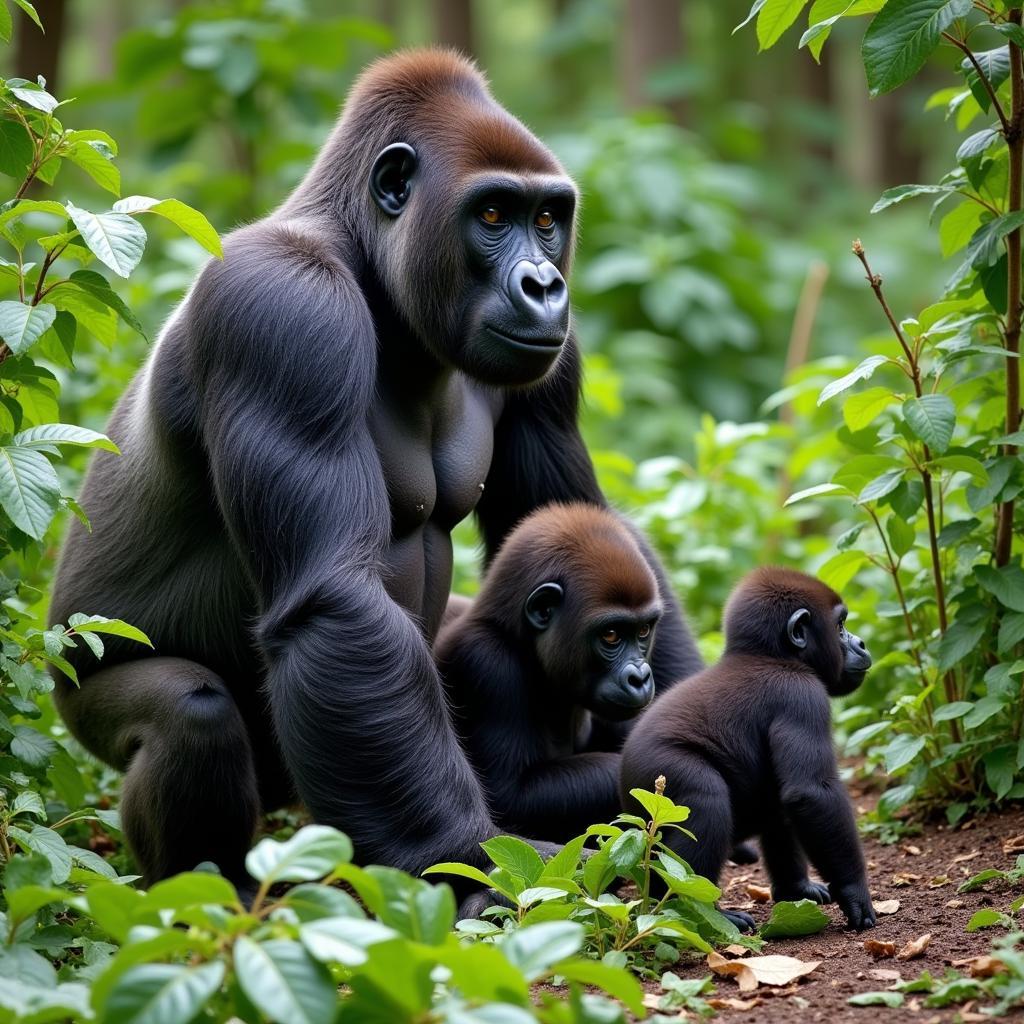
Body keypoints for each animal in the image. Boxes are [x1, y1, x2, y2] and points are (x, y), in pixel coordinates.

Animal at [434, 503, 663, 839]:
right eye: (611, 635)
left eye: (644, 630)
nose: (640, 678)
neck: (519, 639)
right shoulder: (487, 663)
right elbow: (510, 797)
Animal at [618, 569, 876, 937]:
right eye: (840, 626)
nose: (861, 643)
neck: (766, 655)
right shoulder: (803, 696)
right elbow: (811, 793)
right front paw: (854, 892)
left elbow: (787, 804)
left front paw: (795, 888)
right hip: (662, 772)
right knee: (707, 800)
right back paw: (698, 913)